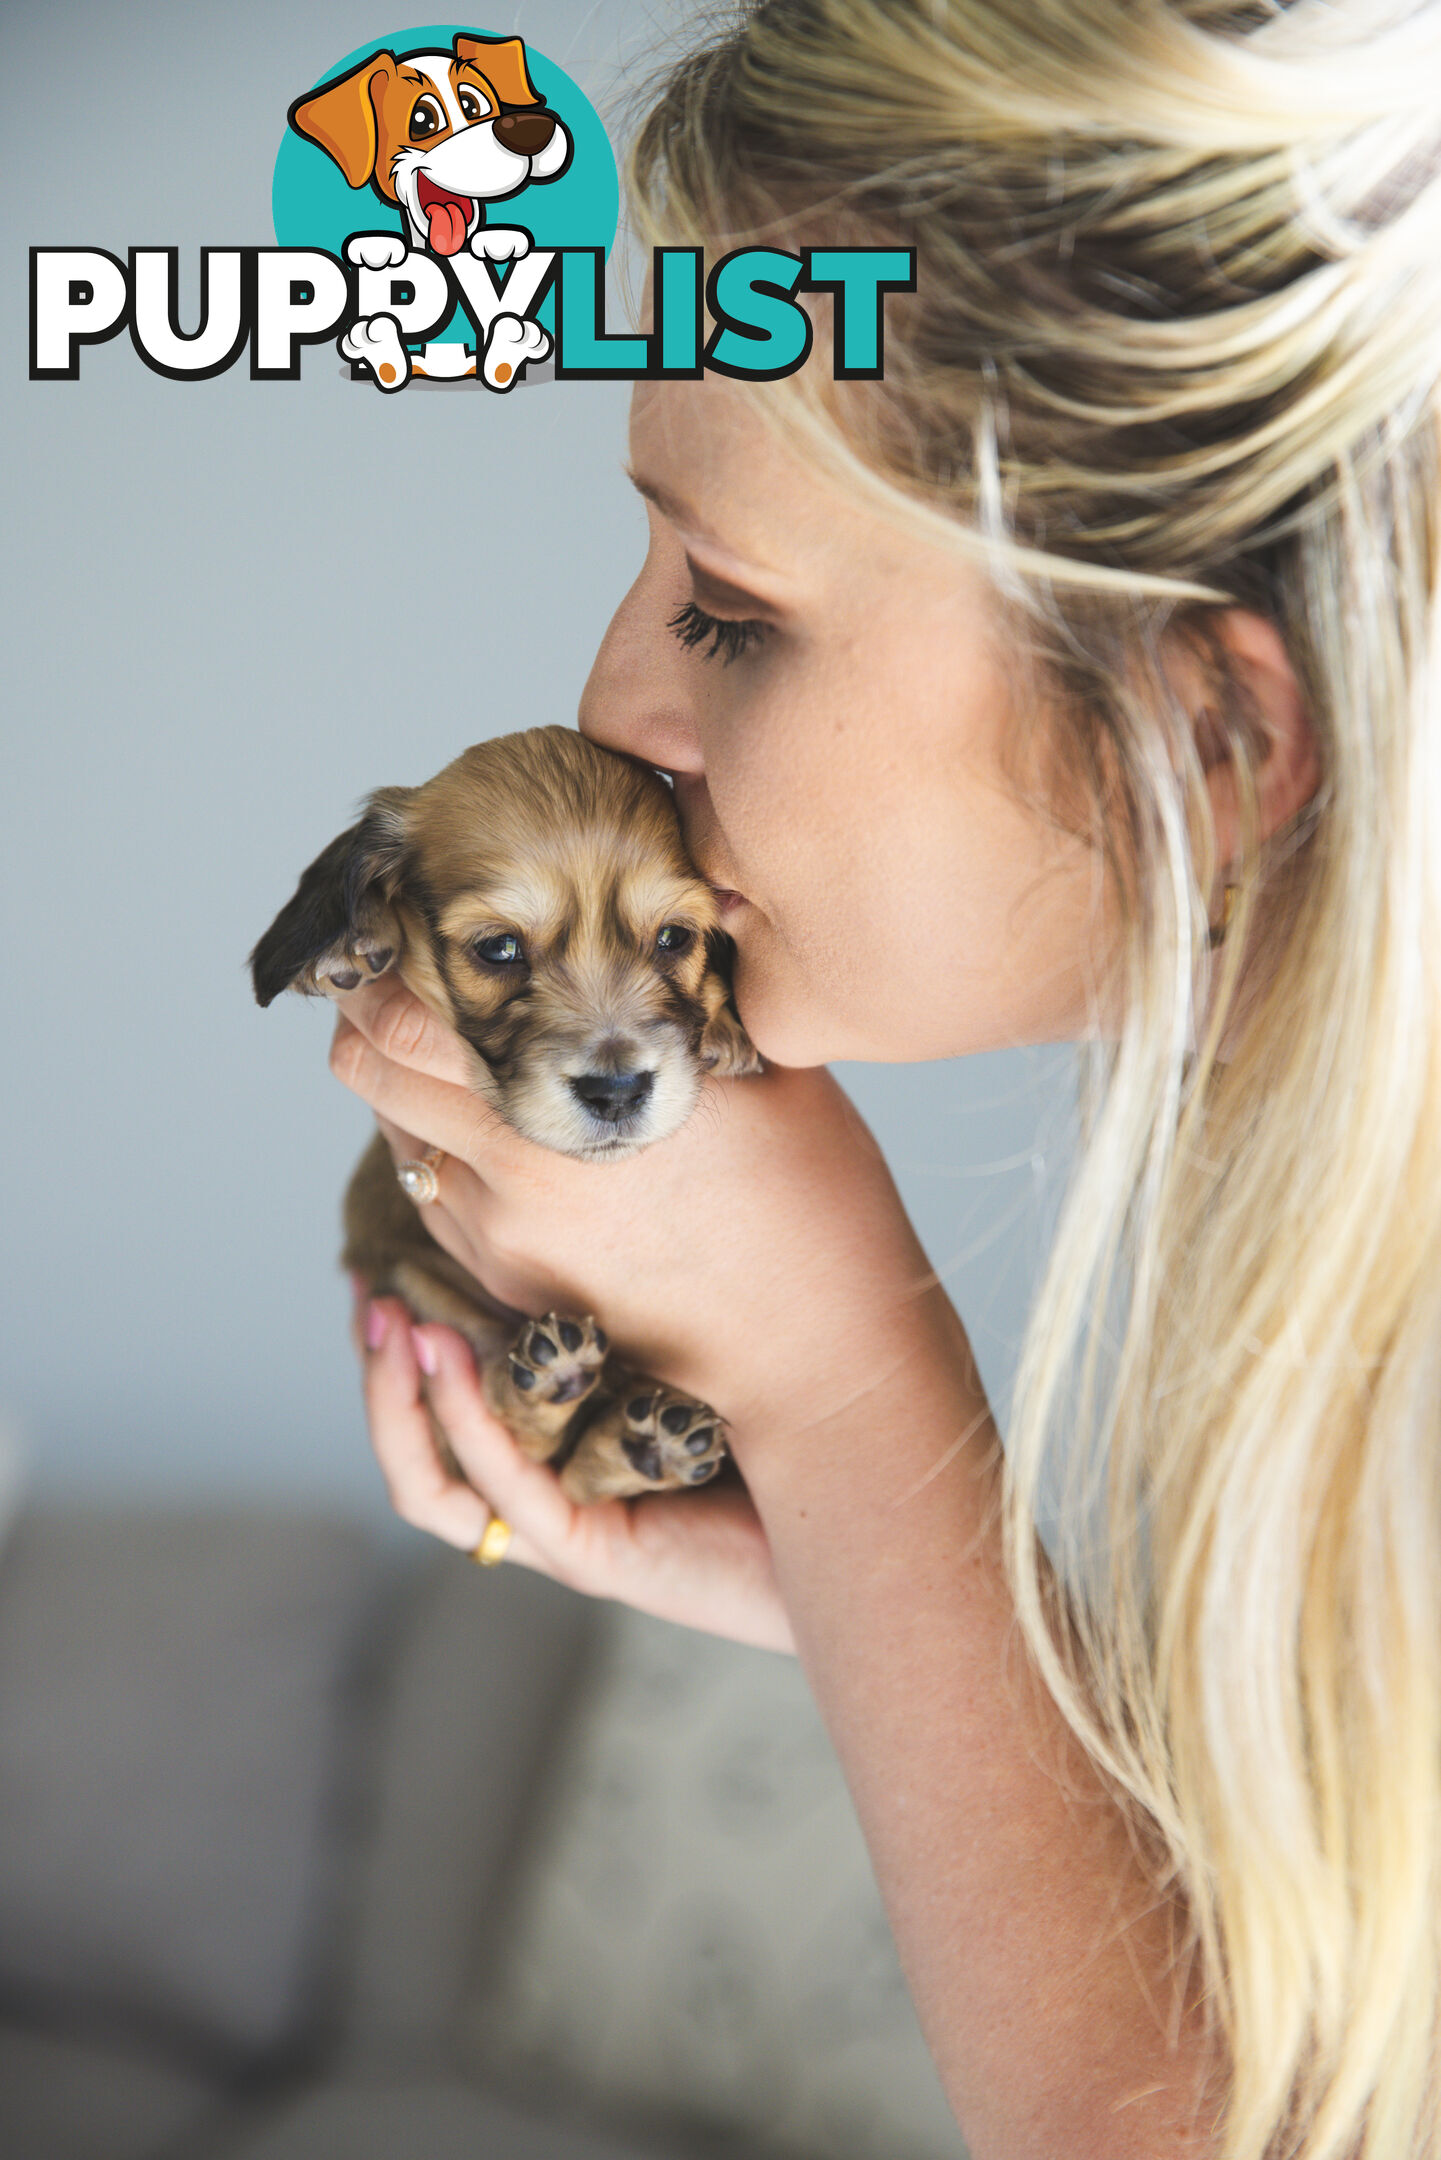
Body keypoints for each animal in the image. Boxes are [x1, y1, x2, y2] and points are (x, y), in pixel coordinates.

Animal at [254, 725, 764, 1503]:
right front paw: (352, 945)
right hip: (417, 1286)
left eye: (675, 938)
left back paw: (647, 1445)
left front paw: (729, 1029)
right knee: (517, 1420)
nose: (617, 1090)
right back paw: (578, 1393)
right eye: (499, 948)